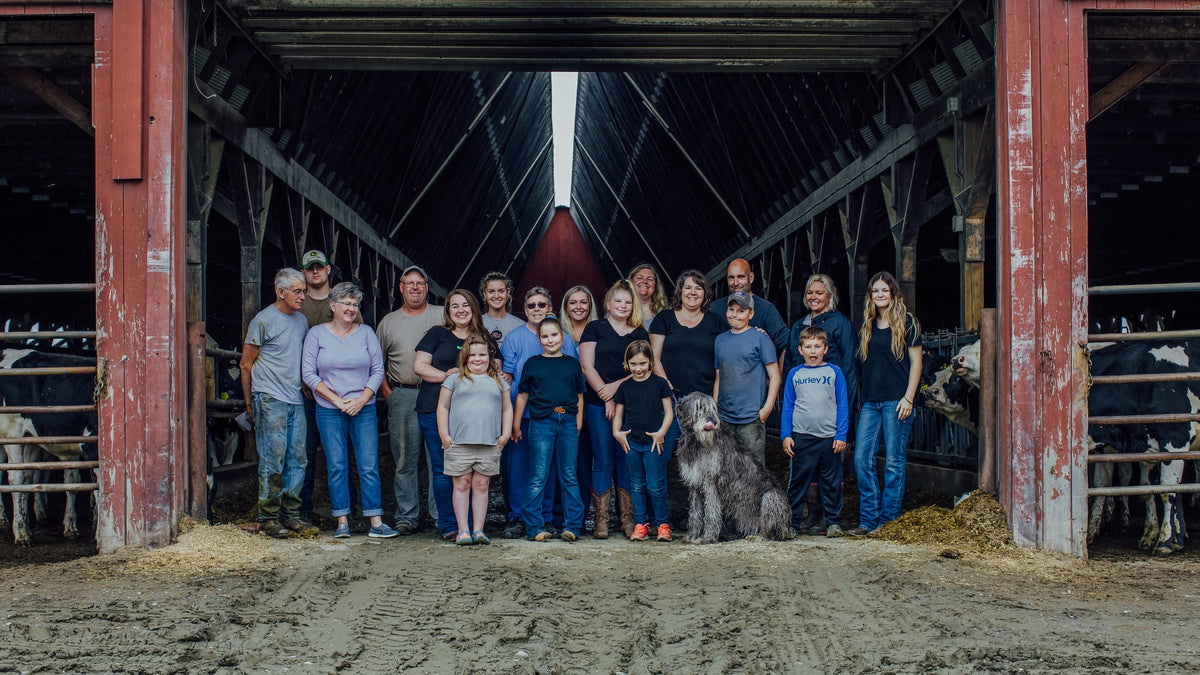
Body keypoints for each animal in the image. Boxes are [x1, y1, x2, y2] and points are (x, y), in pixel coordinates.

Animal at [0, 343, 97, 542]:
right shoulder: (92, 446)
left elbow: (74, 482)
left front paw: (72, 526)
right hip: (11, 433)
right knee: (16, 478)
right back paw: (20, 531)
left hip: (31, 439)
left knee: (28, 476)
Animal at [676, 389, 796, 540]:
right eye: (699, 407)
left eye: (713, 409)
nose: (714, 422)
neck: (697, 442)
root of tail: (788, 525)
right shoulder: (694, 482)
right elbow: (695, 512)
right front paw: (692, 536)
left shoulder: (711, 481)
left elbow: (711, 510)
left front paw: (708, 537)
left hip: (771, 497)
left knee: (774, 531)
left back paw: (760, 537)